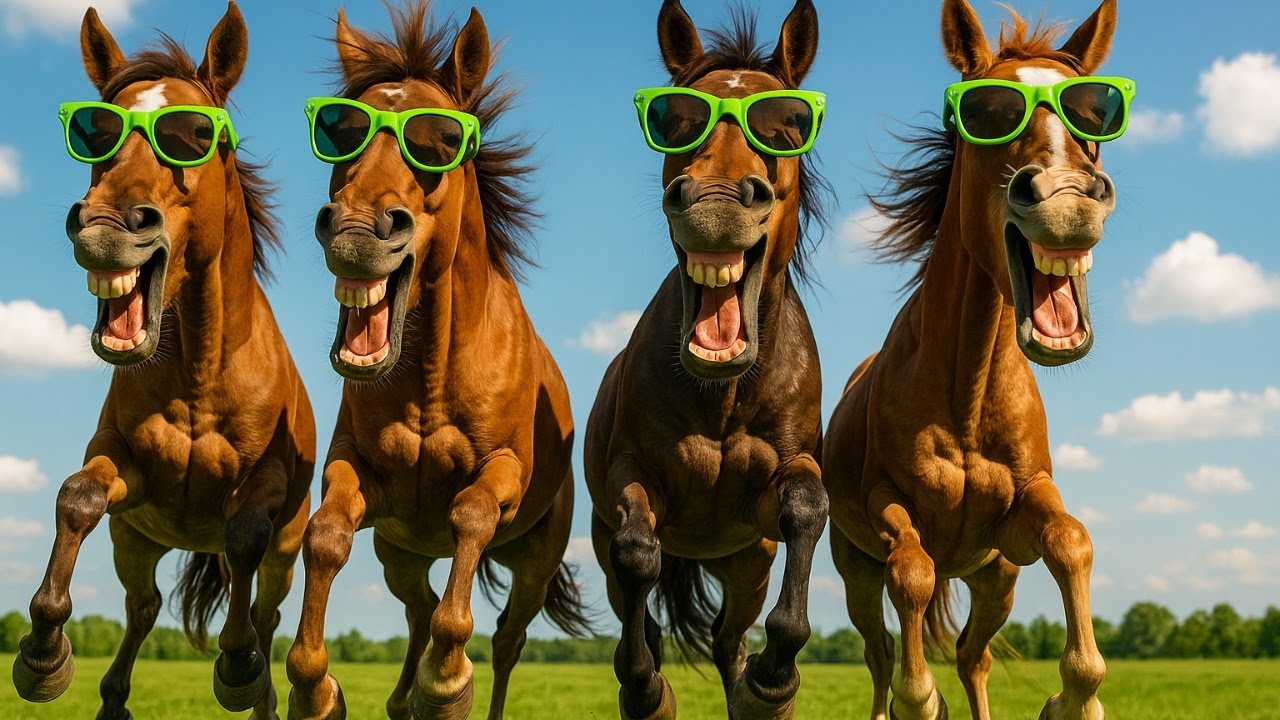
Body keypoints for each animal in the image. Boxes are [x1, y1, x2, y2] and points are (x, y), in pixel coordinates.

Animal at [11, 4, 315, 720]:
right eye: (96, 132)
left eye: (196, 135)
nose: (105, 226)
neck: (200, 377)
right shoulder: (124, 470)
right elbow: (76, 497)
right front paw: (42, 654)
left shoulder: (264, 493)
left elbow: (244, 537)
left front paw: (236, 665)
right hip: (138, 539)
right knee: (144, 608)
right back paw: (110, 695)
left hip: (286, 556)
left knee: (263, 613)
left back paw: (256, 677)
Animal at [283, 4, 588, 719]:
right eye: (341, 131)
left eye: (439, 139)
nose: (356, 231)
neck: (429, 378)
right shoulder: (358, 475)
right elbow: (325, 536)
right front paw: (314, 687)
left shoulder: (501, 475)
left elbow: (470, 518)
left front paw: (446, 681)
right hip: (400, 553)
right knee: (419, 607)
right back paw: (401, 698)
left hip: (534, 563)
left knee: (506, 640)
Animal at [585, 2, 831, 718]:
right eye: (675, 121)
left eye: (788, 123)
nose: (716, 201)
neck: (722, 396)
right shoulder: (631, 481)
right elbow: (637, 553)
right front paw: (645, 688)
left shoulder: (770, 505)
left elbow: (807, 509)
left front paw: (775, 680)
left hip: (746, 563)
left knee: (727, 641)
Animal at [824, 1, 1120, 719]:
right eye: (988, 111)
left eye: (1094, 113)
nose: (1068, 199)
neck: (968, 391)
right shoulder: (888, 511)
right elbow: (913, 575)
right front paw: (920, 698)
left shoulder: (1022, 518)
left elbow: (1073, 542)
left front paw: (1072, 700)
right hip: (853, 570)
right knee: (880, 653)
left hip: (995, 580)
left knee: (972, 656)